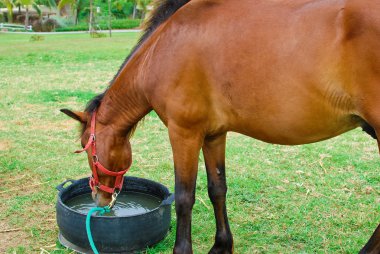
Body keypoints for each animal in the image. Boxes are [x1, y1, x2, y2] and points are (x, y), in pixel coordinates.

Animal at [60, 0, 378, 253]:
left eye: (86, 148)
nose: (99, 197)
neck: (162, 50)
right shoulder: (214, 134)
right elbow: (217, 189)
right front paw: (222, 245)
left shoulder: (183, 133)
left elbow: (185, 196)